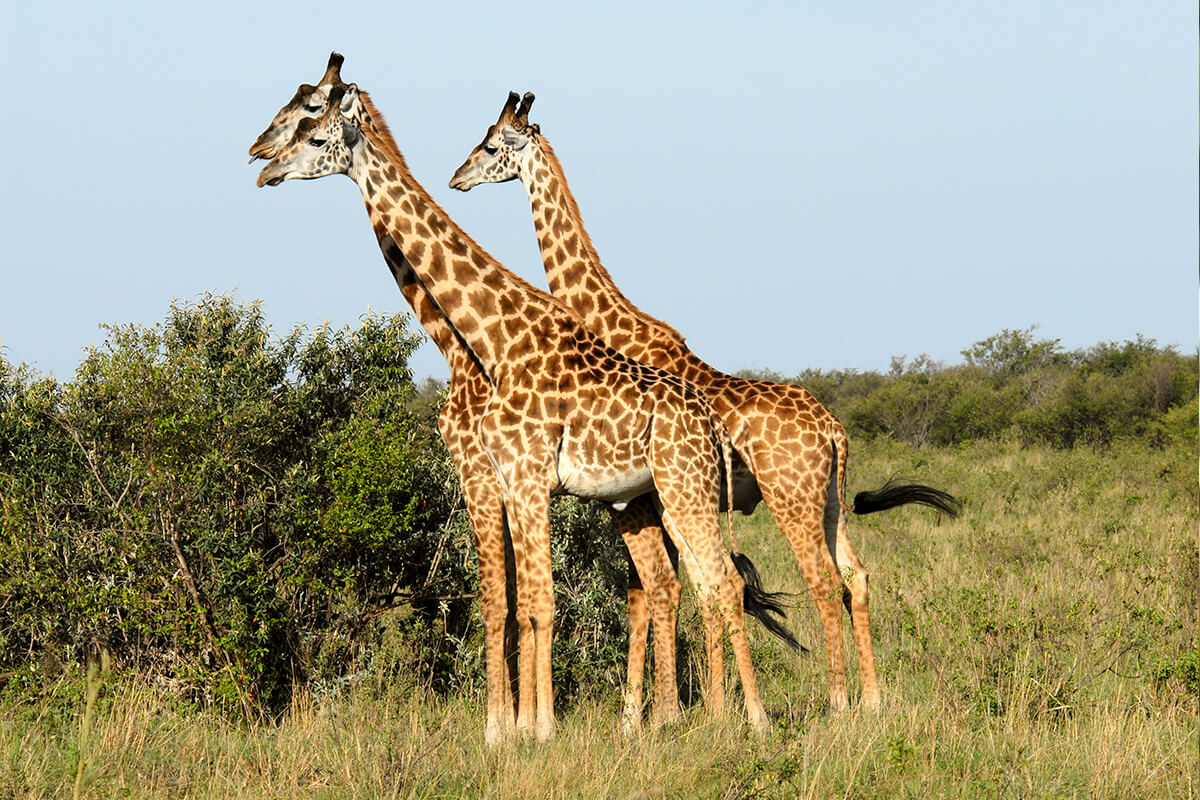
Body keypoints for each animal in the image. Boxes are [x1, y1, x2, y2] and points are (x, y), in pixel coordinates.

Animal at [256, 79, 772, 738]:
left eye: (313, 130)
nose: (263, 164)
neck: (487, 341)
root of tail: (708, 421)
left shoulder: (518, 477)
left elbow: (534, 602)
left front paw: (529, 728)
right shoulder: (506, 479)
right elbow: (514, 599)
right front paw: (515, 726)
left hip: (686, 491)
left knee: (725, 582)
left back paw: (748, 721)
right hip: (667, 496)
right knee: (697, 583)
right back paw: (695, 717)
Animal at [451, 94, 964, 714]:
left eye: (491, 146)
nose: (456, 178)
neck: (616, 328)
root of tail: (835, 432)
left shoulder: (653, 497)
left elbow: (684, 592)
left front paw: (685, 712)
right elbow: (684, 593)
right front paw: (692, 710)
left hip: (790, 500)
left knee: (821, 581)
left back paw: (839, 702)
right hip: (830, 502)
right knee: (856, 576)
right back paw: (871, 700)